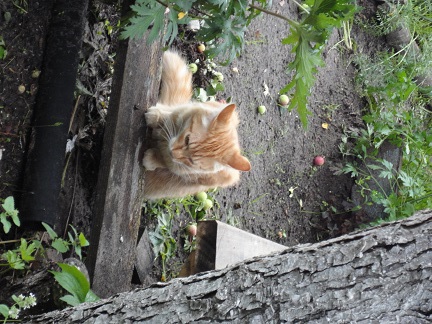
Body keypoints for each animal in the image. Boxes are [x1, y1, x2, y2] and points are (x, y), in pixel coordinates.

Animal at [143, 50, 250, 200]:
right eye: (187, 139)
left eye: (191, 161)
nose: (172, 152)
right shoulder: (181, 111)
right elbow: (169, 113)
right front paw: (156, 116)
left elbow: (166, 163)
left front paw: (152, 159)